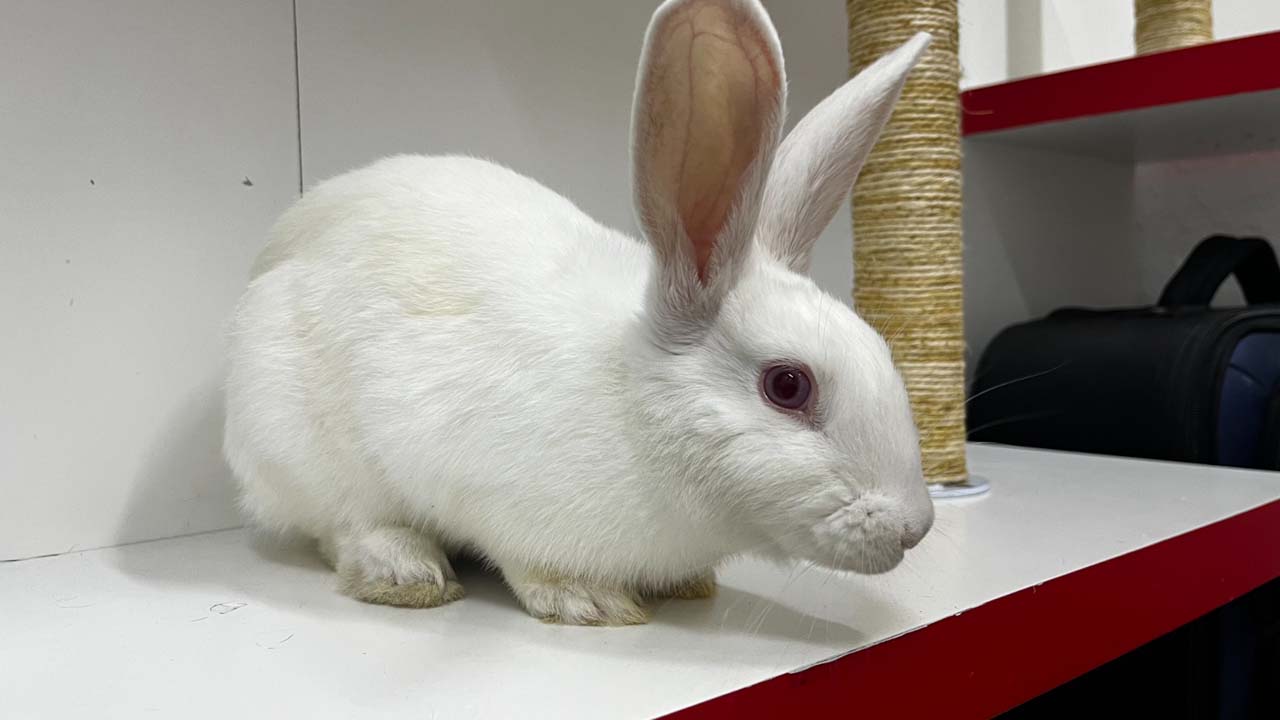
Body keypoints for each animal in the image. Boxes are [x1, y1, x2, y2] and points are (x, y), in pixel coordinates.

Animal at [224, 0, 934, 626]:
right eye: (787, 385)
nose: (916, 527)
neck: (634, 398)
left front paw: (686, 584)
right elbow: (529, 561)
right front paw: (588, 603)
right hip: (300, 445)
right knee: (343, 526)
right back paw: (407, 573)